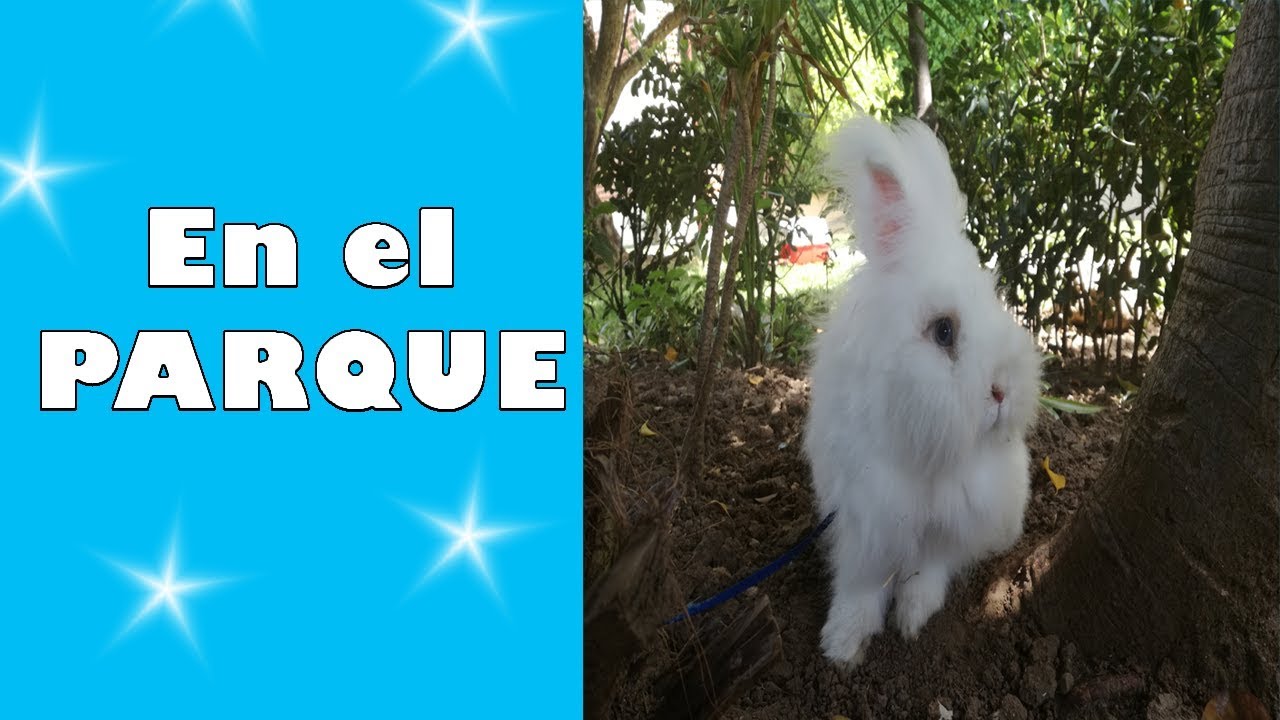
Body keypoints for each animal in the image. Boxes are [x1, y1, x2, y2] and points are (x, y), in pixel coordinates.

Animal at [802, 115, 1042, 667]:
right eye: (944, 331)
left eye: (996, 304)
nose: (1003, 390)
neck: (927, 458)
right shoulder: (866, 516)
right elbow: (862, 584)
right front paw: (842, 645)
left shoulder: (950, 521)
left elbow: (928, 572)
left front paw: (913, 618)